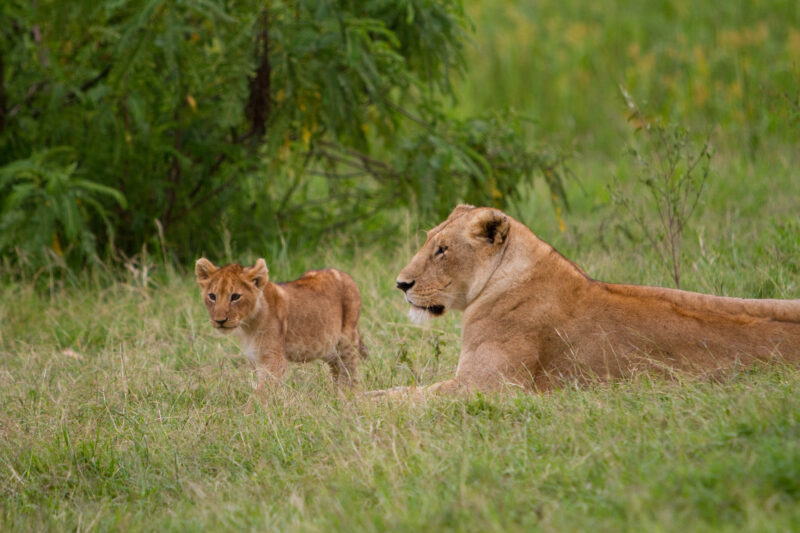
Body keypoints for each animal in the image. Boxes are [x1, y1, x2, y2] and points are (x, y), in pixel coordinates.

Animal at [195, 258, 368, 391]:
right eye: (212, 296)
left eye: (235, 296)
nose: (220, 320)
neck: (247, 326)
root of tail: (344, 274)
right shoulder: (256, 359)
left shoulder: (274, 358)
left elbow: (262, 392)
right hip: (328, 346)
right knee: (337, 370)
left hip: (347, 341)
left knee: (351, 373)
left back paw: (349, 396)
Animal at [374, 204, 800, 396]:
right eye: (430, 239)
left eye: (443, 249)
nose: (400, 284)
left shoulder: (486, 387)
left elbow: (401, 398)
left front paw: (358, 406)